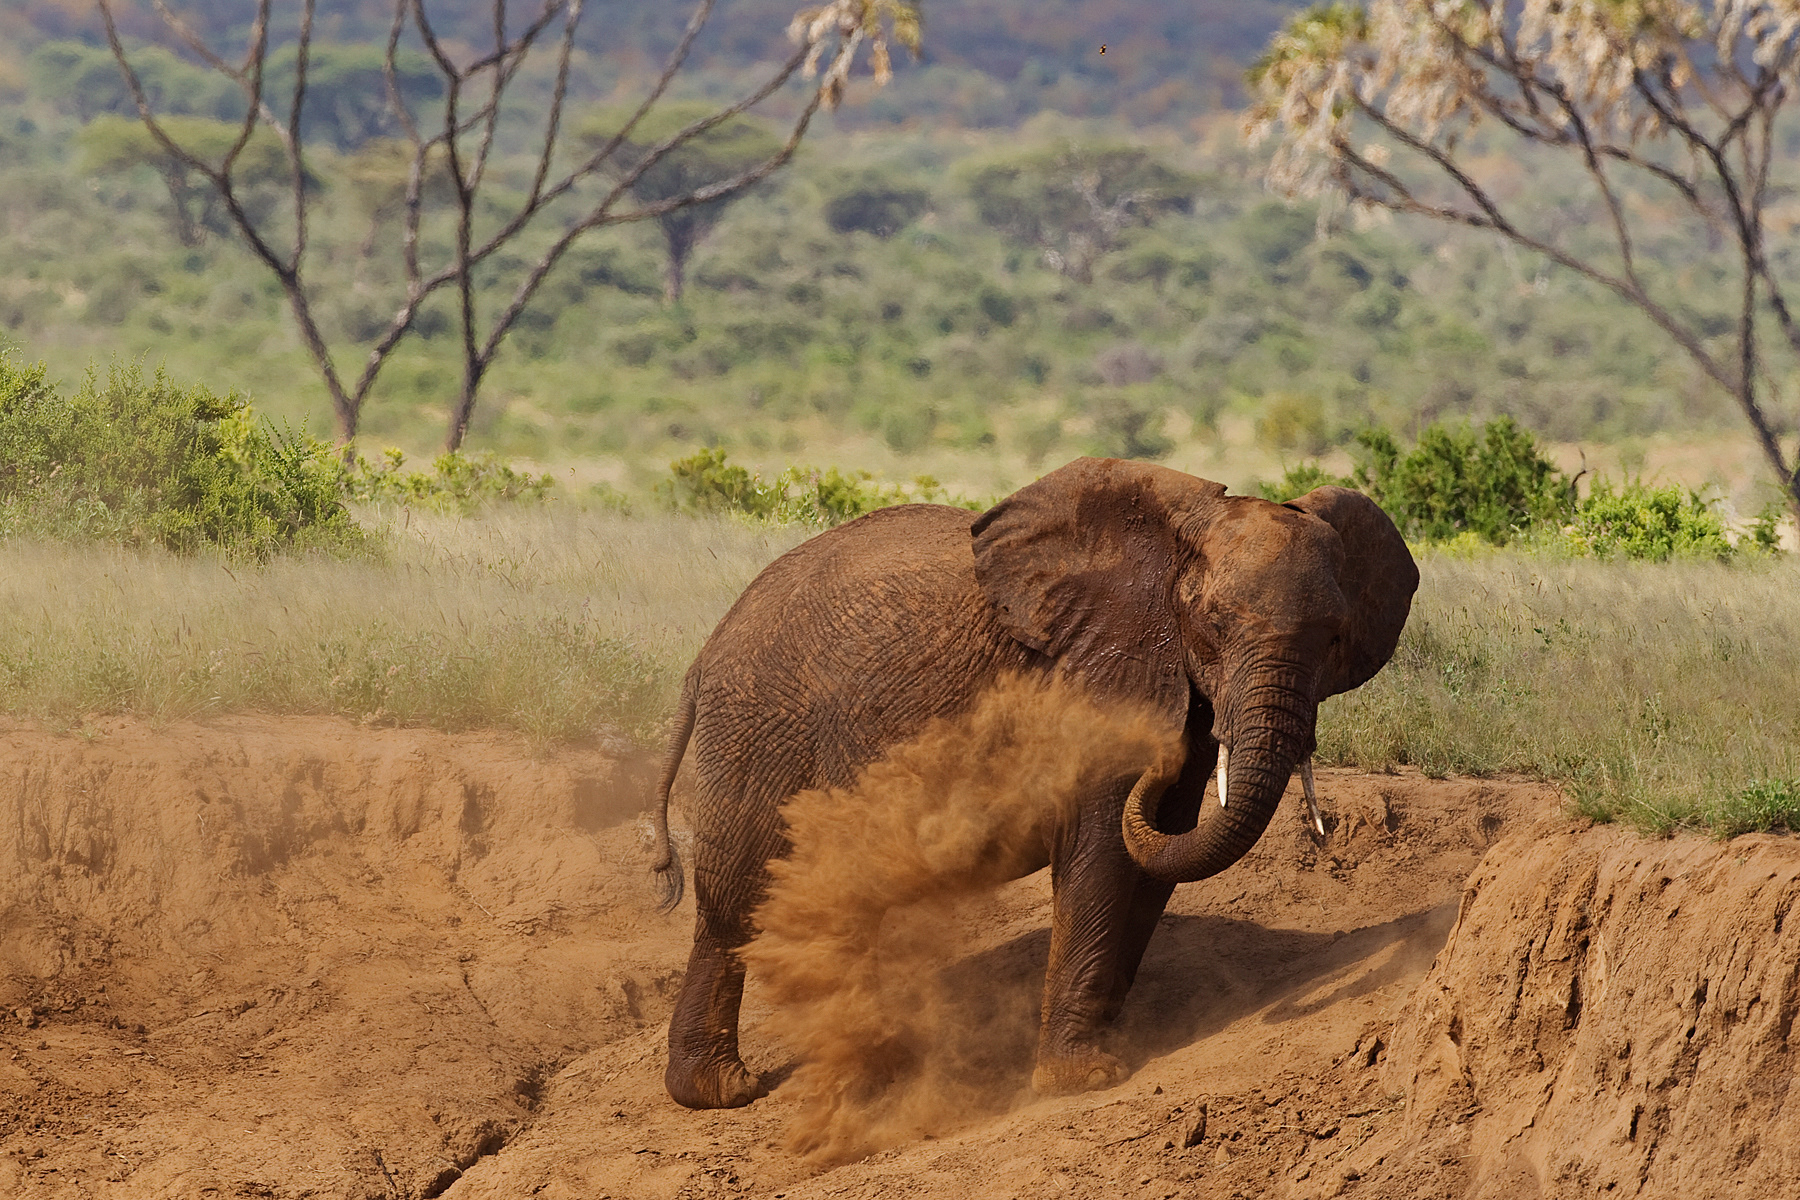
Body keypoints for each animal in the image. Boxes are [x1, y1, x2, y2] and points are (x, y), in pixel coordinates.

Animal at [647, 456, 1418, 1110]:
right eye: (1213, 624)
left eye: (1335, 637)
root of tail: (703, 656)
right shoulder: (1104, 672)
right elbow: (1102, 843)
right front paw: (1084, 1077)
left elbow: (1161, 848)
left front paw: (1116, 1037)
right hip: (756, 731)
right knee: (738, 899)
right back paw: (723, 1090)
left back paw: (871, 1060)